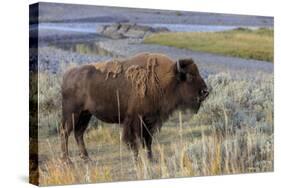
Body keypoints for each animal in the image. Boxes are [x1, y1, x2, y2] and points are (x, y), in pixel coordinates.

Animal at [60, 53, 208, 163]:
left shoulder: (150, 120)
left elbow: (148, 140)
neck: (162, 79)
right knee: (65, 132)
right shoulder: (135, 119)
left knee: (78, 133)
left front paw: (151, 159)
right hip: (72, 114)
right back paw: (67, 160)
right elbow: (135, 139)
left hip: (86, 114)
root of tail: (67, 75)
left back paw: (87, 158)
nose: (205, 91)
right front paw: (137, 158)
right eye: (189, 76)